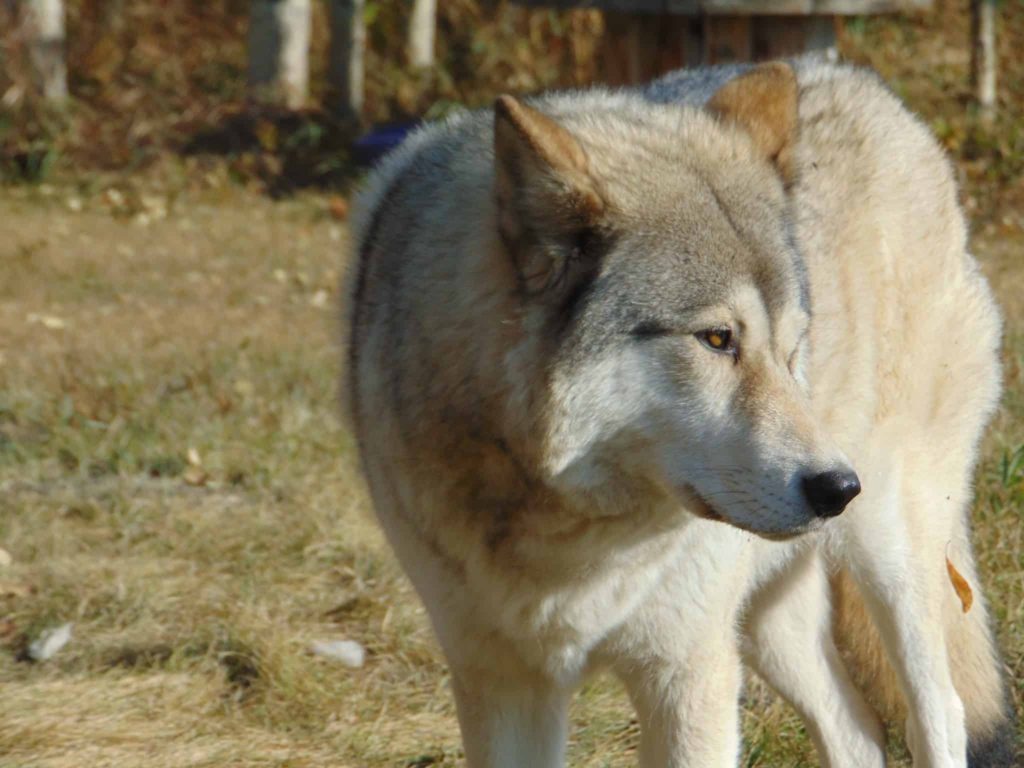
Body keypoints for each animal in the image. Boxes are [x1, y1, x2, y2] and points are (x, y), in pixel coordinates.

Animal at [342, 55, 1007, 768]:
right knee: (858, 729)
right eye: (717, 339)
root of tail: (862, 80)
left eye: (791, 348)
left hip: (887, 547)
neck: (569, 534)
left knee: (941, 712)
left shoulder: (687, 671)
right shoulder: (503, 683)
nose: (837, 488)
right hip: (767, 620)